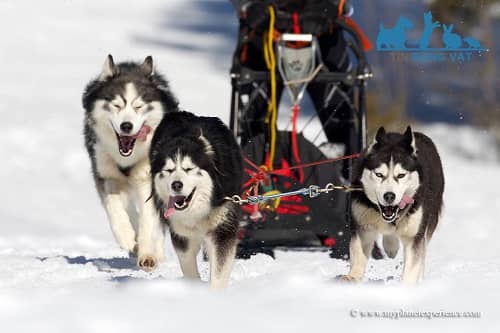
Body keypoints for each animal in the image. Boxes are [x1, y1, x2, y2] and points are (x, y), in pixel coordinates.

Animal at [81, 53, 177, 268]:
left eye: (139, 106)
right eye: (116, 105)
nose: (126, 126)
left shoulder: (148, 180)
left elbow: (149, 221)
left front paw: (147, 253)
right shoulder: (107, 176)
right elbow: (115, 211)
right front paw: (127, 238)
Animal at [149, 111, 243, 288]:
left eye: (189, 169)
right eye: (169, 170)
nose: (176, 184)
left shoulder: (222, 228)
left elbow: (219, 271)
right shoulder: (181, 234)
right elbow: (187, 263)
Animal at [344, 126, 446, 282]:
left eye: (401, 175)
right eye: (379, 174)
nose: (389, 196)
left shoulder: (414, 236)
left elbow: (412, 268)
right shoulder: (362, 228)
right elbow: (358, 258)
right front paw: (352, 277)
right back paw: (391, 246)